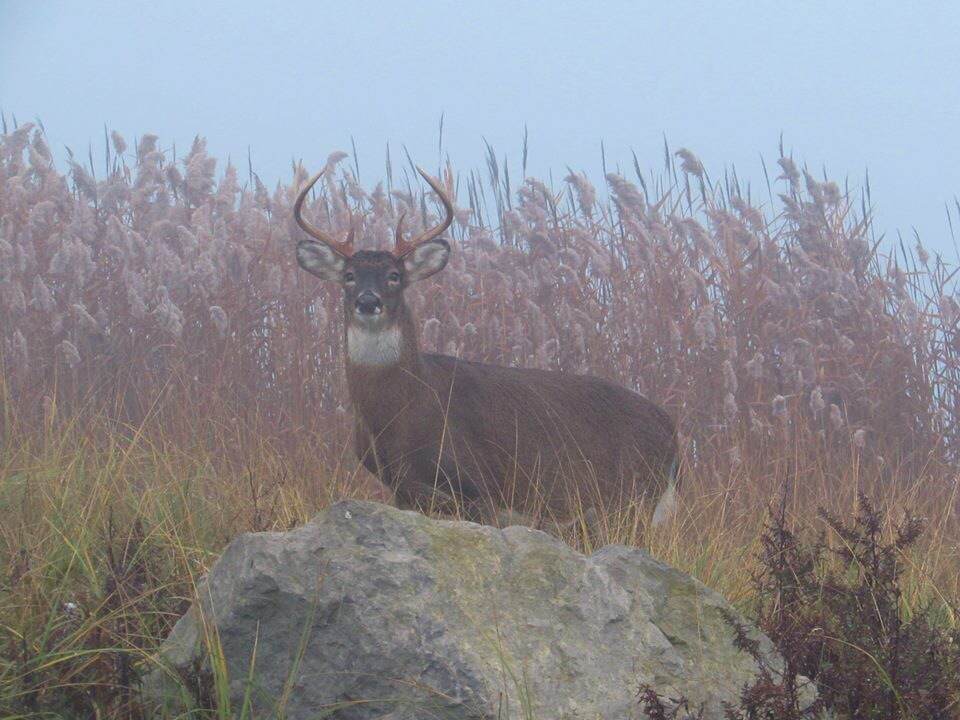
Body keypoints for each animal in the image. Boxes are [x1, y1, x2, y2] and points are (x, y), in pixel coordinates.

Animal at [296, 167, 680, 528]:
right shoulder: (402, 490)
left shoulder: (479, 487)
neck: (399, 409)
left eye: (394, 275)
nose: (368, 300)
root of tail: (673, 433)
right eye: (348, 276)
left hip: (633, 496)